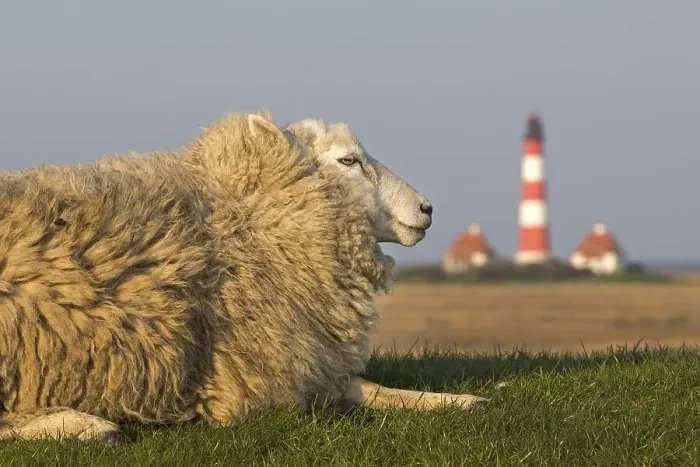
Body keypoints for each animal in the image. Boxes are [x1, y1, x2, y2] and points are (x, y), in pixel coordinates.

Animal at [0, 111, 486, 443]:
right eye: (349, 160)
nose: (426, 209)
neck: (246, 225)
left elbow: (370, 387)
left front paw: (460, 401)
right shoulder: (259, 388)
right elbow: (348, 393)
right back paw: (82, 424)